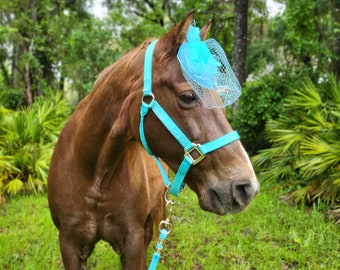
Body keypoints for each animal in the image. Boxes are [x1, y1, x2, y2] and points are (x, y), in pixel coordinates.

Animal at [47, 11, 258, 270]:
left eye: (220, 98)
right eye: (188, 97)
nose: (247, 187)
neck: (94, 174)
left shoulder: (133, 242)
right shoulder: (69, 244)